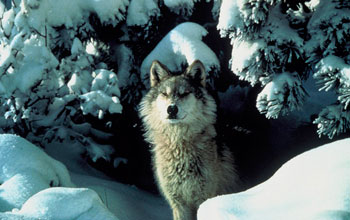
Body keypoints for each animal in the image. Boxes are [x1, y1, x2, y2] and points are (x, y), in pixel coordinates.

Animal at [138, 59, 239, 219]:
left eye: (184, 93)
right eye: (164, 94)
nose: (172, 109)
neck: (179, 145)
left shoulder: (203, 199)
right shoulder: (178, 204)